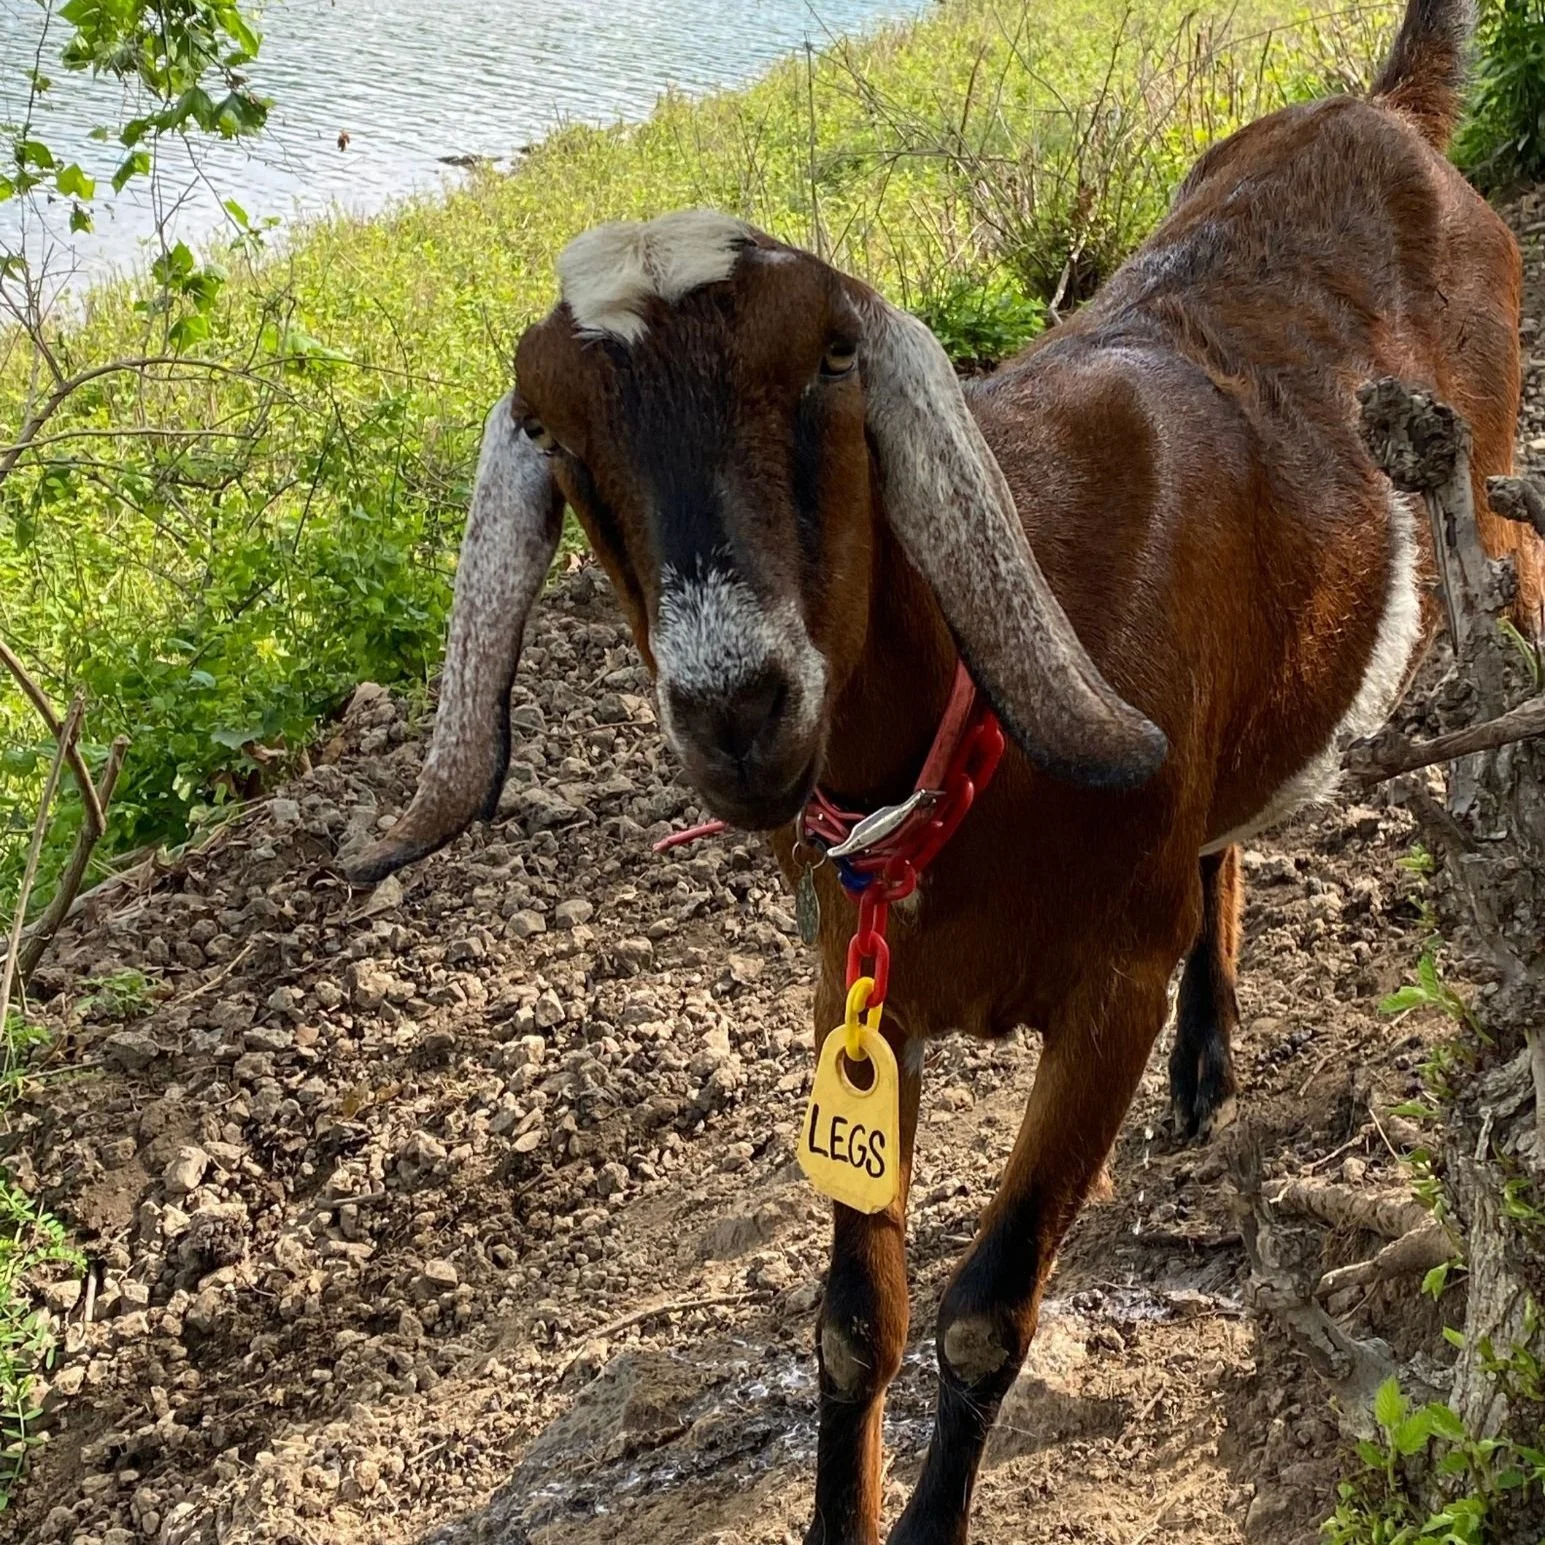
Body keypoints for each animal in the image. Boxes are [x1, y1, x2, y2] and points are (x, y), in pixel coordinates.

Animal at [343, 0, 1542, 1537]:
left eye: (822, 365)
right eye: (553, 429)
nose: (737, 707)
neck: (968, 757)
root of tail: (1383, 110)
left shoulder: (1106, 992)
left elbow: (983, 1312)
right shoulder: (856, 1005)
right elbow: (859, 1321)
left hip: (1496, 536)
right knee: (1225, 831)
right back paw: (1207, 1063)